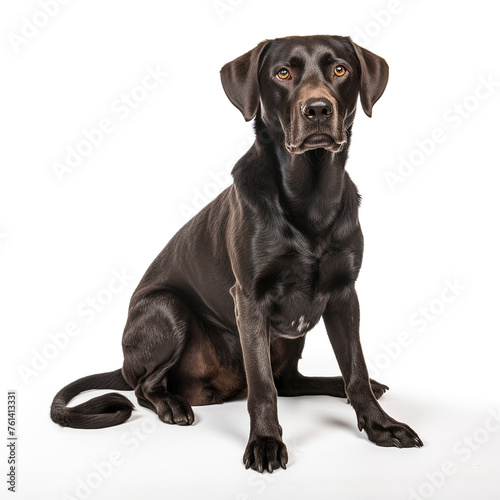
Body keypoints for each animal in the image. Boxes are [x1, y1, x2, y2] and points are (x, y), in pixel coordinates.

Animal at [51, 35, 422, 472]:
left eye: (340, 69)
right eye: (283, 73)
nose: (317, 109)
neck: (310, 196)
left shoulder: (345, 295)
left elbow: (356, 371)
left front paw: (381, 425)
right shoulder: (249, 300)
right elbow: (262, 386)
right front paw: (265, 441)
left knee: (291, 380)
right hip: (166, 309)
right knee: (144, 385)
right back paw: (171, 404)